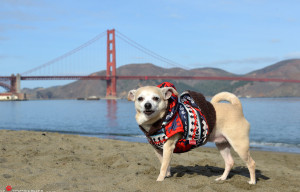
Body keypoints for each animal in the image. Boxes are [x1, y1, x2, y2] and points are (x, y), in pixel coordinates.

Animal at [127, 83, 256, 184]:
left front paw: (160, 180)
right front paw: (167, 175)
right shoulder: (158, 149)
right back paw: (222, 178)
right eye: (140, 99)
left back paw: (252, 181)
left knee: (251, 163)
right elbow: (164, 163)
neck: (160, 120)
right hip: (222, 144)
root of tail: (237, 108)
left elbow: (163, 166)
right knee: (229, 162)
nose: (147, 105)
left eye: (156, 98)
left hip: (240, 145)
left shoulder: (168, 147)